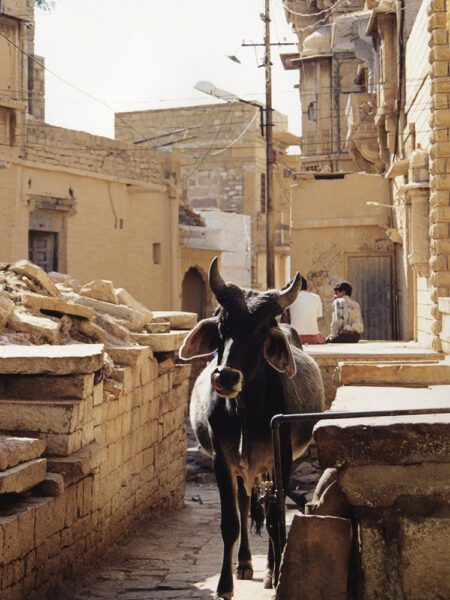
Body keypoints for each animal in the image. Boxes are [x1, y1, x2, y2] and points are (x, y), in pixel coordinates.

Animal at [179, 258, 324, 600]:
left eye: (261, 329)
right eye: (222, 325)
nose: (225, 377)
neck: (244, 411)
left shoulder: (280, 458)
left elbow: (274, 519)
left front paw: (276, 574)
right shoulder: (222, 460)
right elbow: (231, 522)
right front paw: (224, 585)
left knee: (270, 507)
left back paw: (269, 569)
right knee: (246, 503)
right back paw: (245, 562)